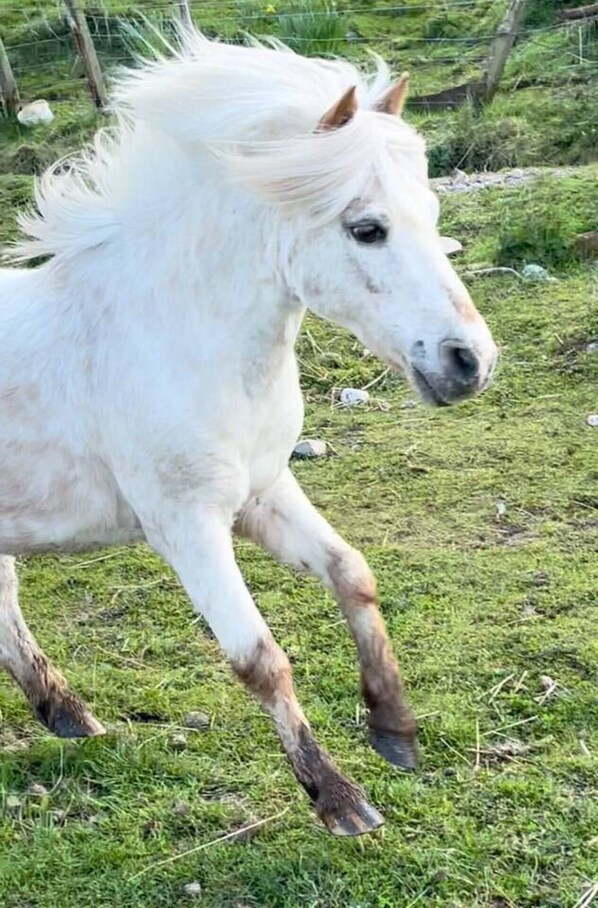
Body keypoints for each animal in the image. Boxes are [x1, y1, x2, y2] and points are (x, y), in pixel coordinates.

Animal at [0, 33, 497, 836]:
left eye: (431, 211)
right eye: (367, 228)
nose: (469, 363)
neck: (173, 338)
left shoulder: (263, 491)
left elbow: (353, 574)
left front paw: (394, 730)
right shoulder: (187, 527)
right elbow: (259, 659)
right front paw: (339, 799)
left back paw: (69, 714)